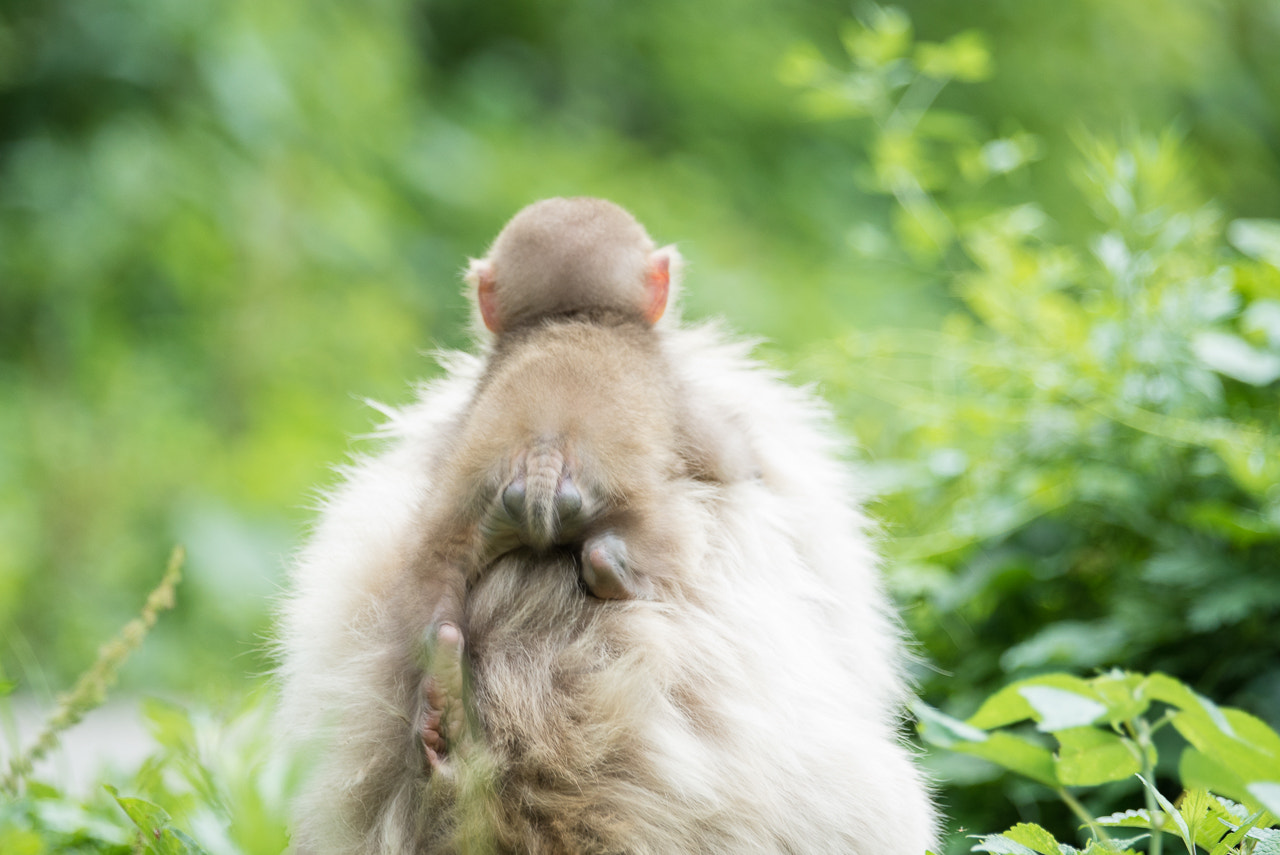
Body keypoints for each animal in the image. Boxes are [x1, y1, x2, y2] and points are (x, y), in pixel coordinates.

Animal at [277, 197, 942, 849]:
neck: (574, 319)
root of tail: (542, 459)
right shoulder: (695, 401)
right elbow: (735, 455)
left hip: (461, 528)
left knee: (431, 584)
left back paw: (440, 692)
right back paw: (615, 573)